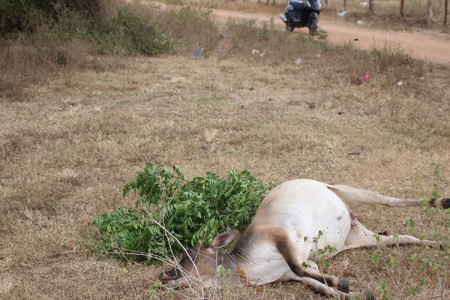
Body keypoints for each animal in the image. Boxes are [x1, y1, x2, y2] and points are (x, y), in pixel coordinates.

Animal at [158, 179, 450, 298]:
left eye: (187, 255)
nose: (163, 276)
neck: (248, 268)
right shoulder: (299, 271)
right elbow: (321, 287)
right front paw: (363, 293)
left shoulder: (282, 236)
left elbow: (302, 267)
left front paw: (344, 282)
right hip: (360, 236)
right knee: (400, 237)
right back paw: (438, 244)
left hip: (346, 189)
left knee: (391, 201)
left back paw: (442, 201)